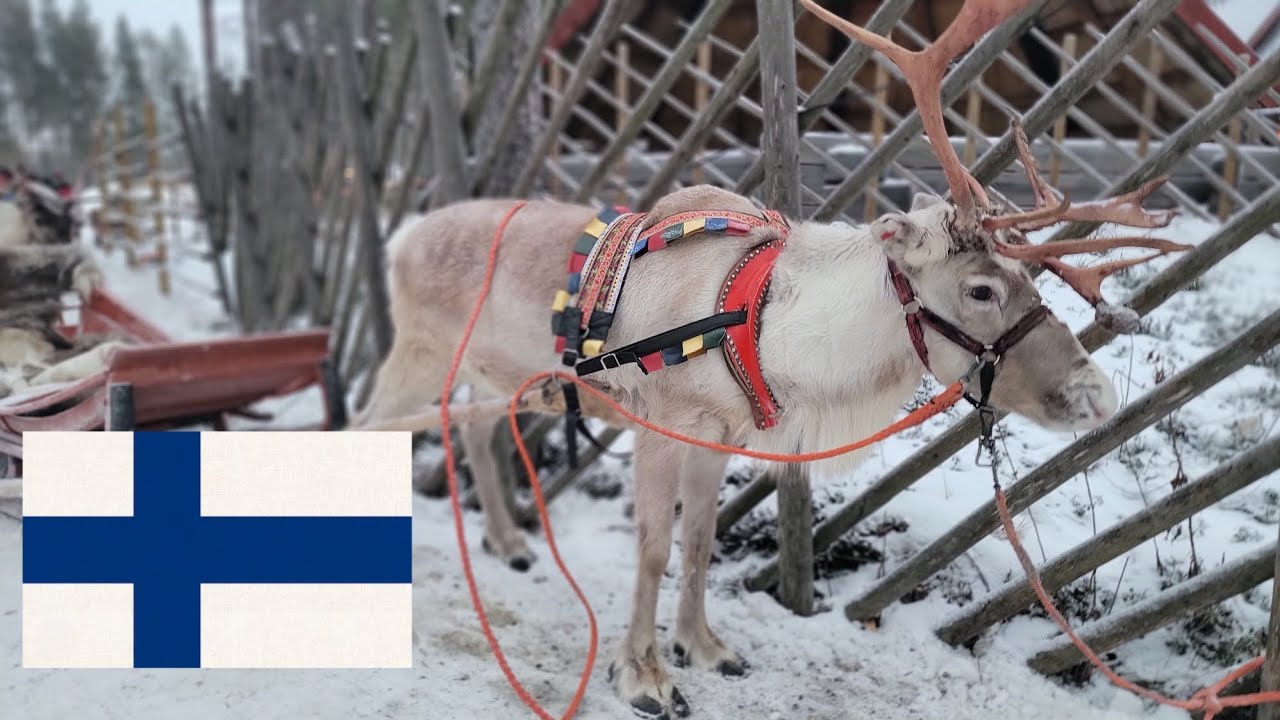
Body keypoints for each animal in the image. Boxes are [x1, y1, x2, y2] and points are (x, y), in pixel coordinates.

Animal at [352, 0, 1191, 715]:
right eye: (982, 288)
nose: (1095, 393)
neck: (769, 333)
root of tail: (402, 236)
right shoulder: (661, 424)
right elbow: (652, 549)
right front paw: (644, 676)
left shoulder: (719, 434)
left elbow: (698, 541)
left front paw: (704, 647)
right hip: (415, 355)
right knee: (369, 427)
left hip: (486, 372)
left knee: (471, 428)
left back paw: (508, 542)